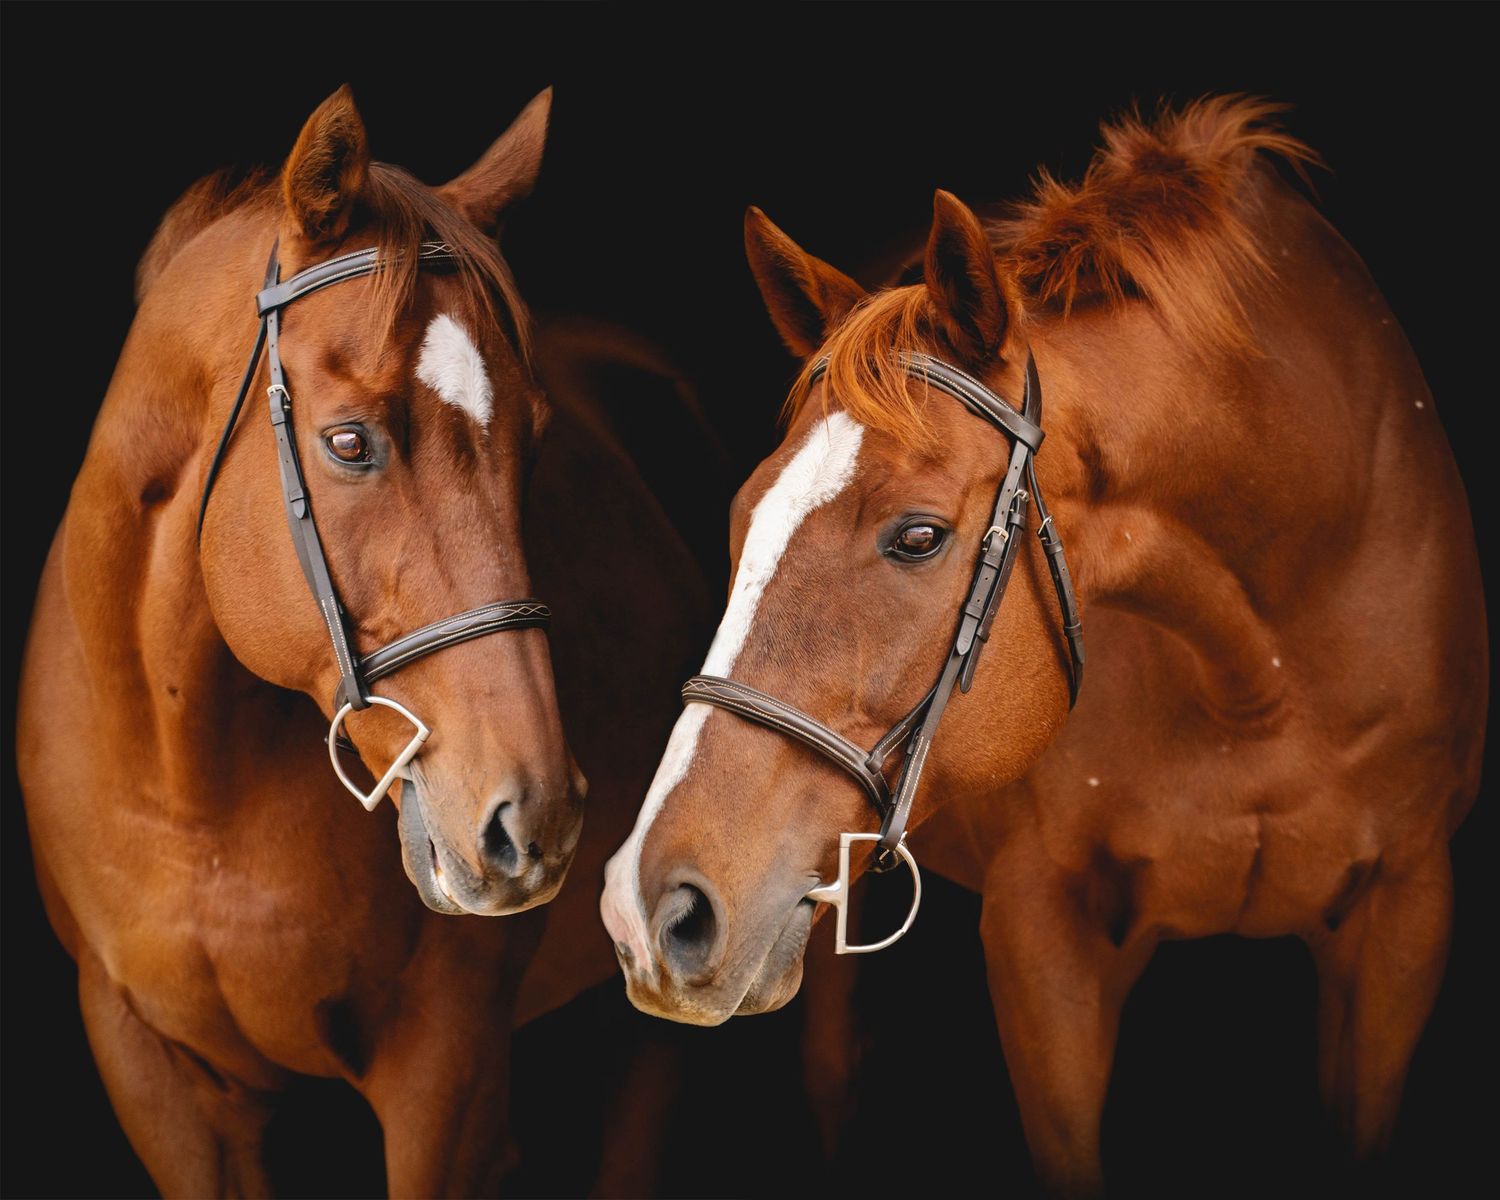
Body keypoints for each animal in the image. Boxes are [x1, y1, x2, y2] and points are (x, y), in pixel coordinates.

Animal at [16, 86, 707, 1196]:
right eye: (349, 443)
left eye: (535, 442)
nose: (537, 818)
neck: (188, 789)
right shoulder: (161, 1085)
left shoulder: (444, 1089)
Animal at [600, 97, 1486, 1193]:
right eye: (739, 521)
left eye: (919, 536)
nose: (647, 908)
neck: (1267, 675)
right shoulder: (1040, 935)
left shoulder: (1405, 917)